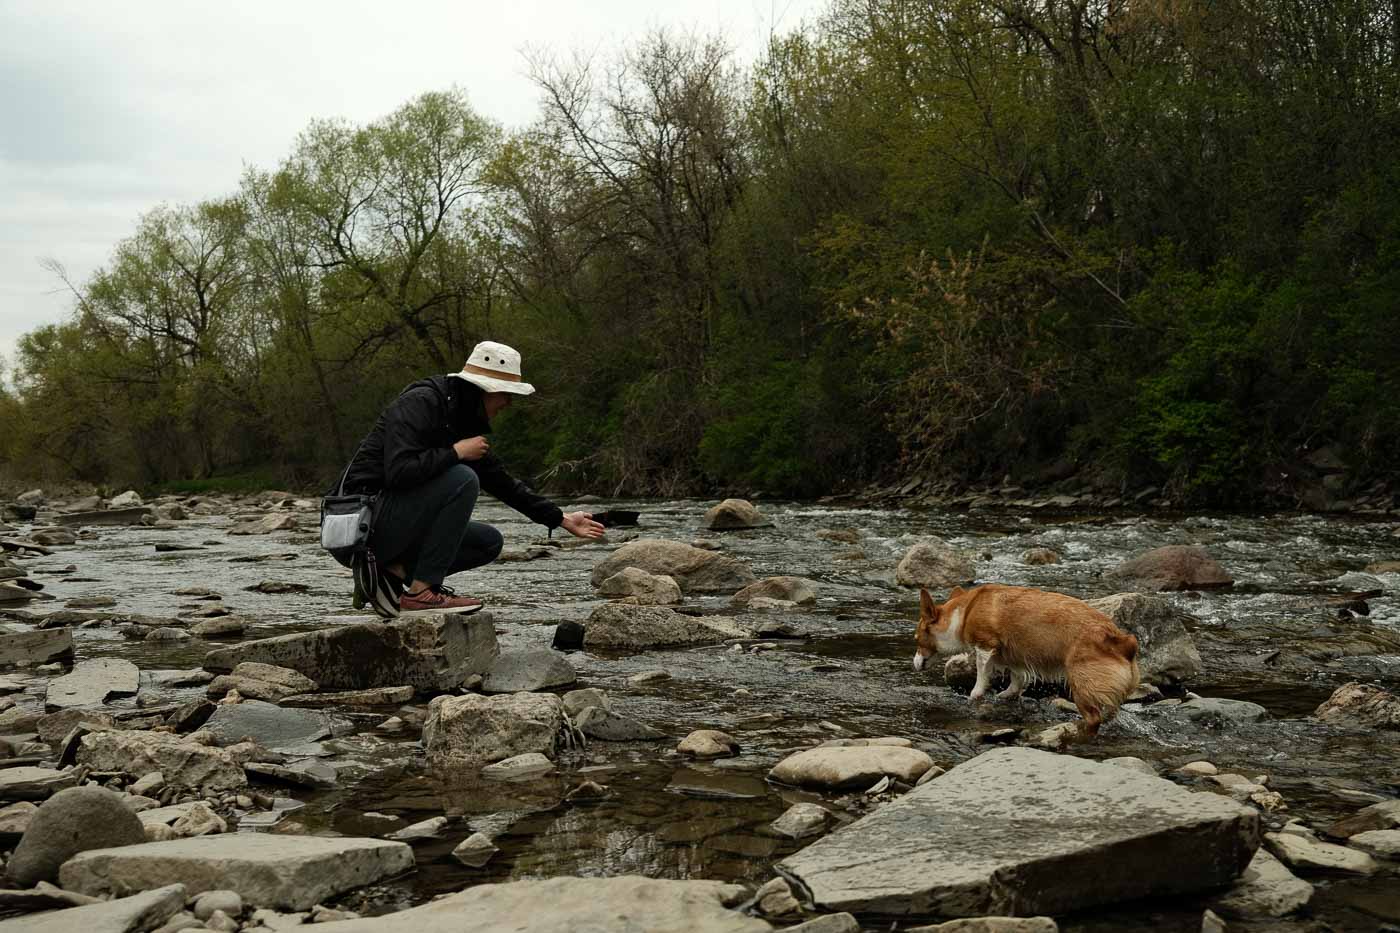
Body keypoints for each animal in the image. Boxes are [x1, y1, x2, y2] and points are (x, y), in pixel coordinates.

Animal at [912, 582, 1142, 739]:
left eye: (916, 639)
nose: (914, 663)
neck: (962, 613)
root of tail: (1124, 643)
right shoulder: (1014, 656)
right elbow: (1017, 679)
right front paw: (1007, 695)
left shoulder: (985, 647)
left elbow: (981, 675)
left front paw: (975, 695)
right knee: (1110, 712)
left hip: (1081, 685)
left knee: (1094, 718)